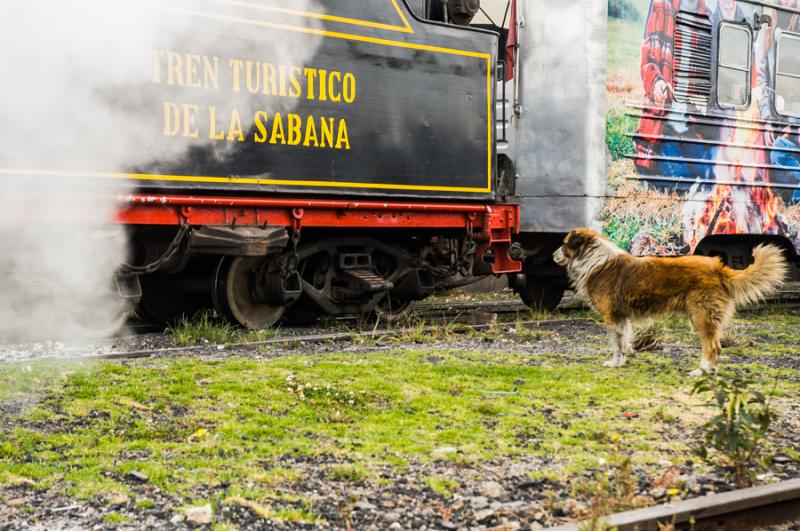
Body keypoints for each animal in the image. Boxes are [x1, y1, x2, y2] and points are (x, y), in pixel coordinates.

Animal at [552, 228, 792, 374]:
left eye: (564, 244)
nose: (553, 256)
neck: (591, 257)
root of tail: (718, 268)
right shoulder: (622, 317)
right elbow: (625, 341)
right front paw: (624, 359)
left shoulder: (611, 316)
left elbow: (616, 344)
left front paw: (614, 362)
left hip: (701, 316)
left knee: (712, 347)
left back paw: (701, 372)